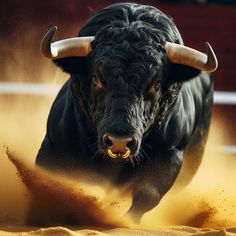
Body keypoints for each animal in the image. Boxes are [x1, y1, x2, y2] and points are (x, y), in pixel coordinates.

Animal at [36, 2, 218, 222]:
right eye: (96, 78)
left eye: (156, 83)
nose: (119, 142)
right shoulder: (53, 145)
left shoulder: (170, 153)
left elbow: (149, 192)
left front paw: (125, 221)